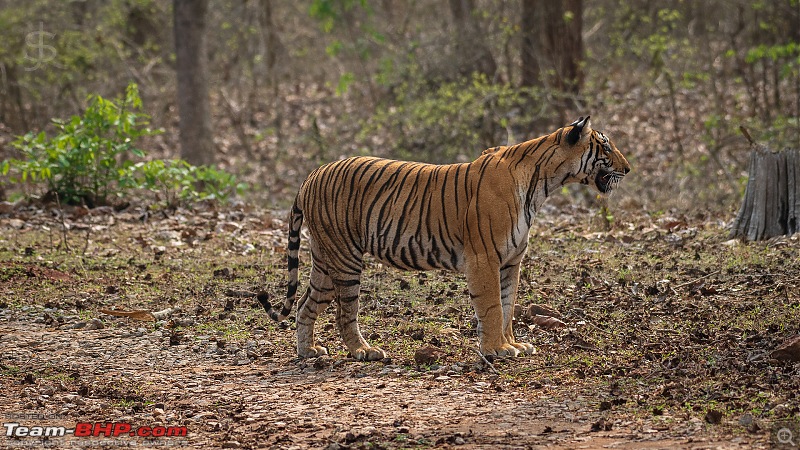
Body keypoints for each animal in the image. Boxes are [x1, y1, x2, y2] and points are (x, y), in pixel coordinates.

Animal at [260, 117, 632, 362]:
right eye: (606, 147)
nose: (628, 169)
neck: (543, 184)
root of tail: (309, 176)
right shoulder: (485, 257)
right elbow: (492, 306)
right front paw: (497, 349)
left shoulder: (511, 261)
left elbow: (509, 305)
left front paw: (513, 344)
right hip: (346, 259)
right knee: (344, 311)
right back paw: (365, 351)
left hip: (325, 259)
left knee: (305, 305)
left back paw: (308, 351)